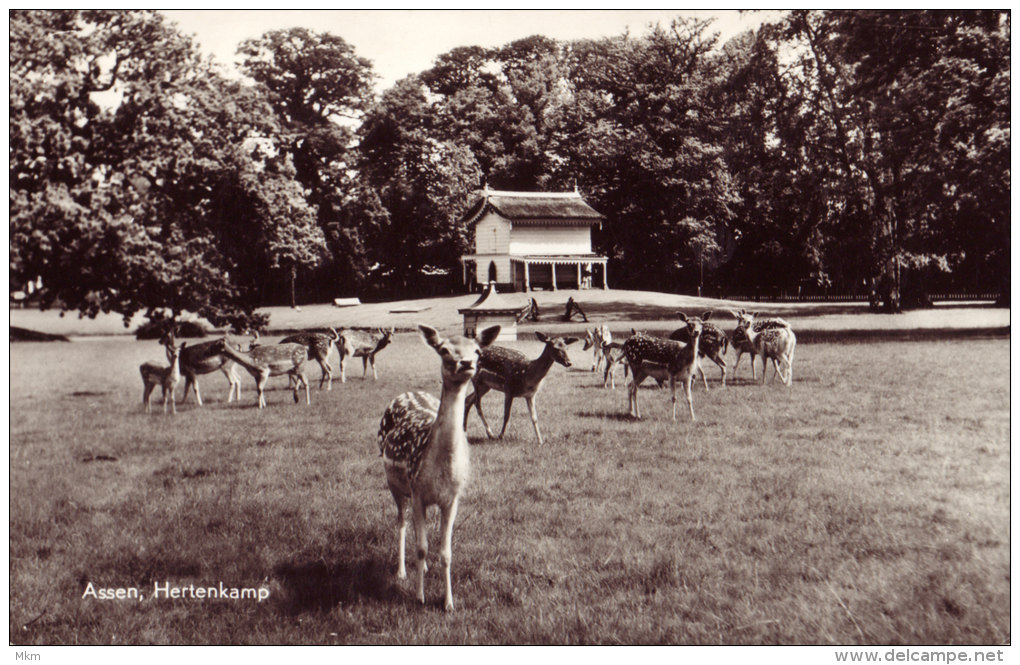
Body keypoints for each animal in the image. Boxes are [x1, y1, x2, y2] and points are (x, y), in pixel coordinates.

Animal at [377, 324, 499, 611]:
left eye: (477, 351)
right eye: (443, 349)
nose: (466, 363)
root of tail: (406, 392)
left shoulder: (452, 498)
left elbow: (446, 552)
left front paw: (448, 603)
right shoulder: (418, 492)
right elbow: (422, 547)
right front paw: (419, 597)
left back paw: (424, 568)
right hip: (394, 484)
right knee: (401, 522)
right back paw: (402, 571)